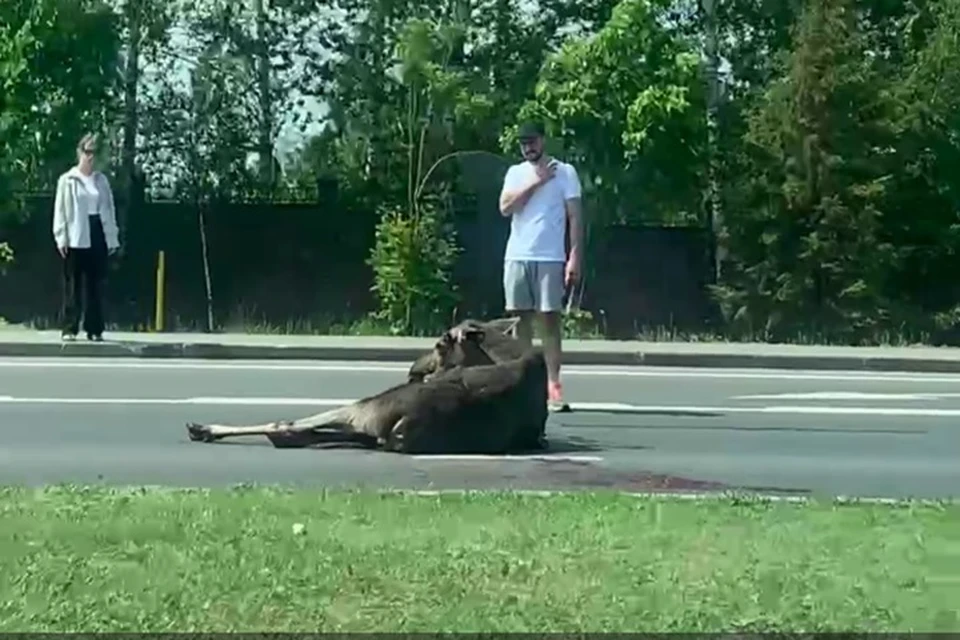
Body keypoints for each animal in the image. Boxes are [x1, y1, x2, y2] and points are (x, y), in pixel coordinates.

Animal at [185, 316, 552, 456]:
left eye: (440, 343)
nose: (413, 371)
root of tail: (403, 427)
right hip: (369, 428)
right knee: (301, 433)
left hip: (365, 410)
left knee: (287, 426)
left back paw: (203, 428)